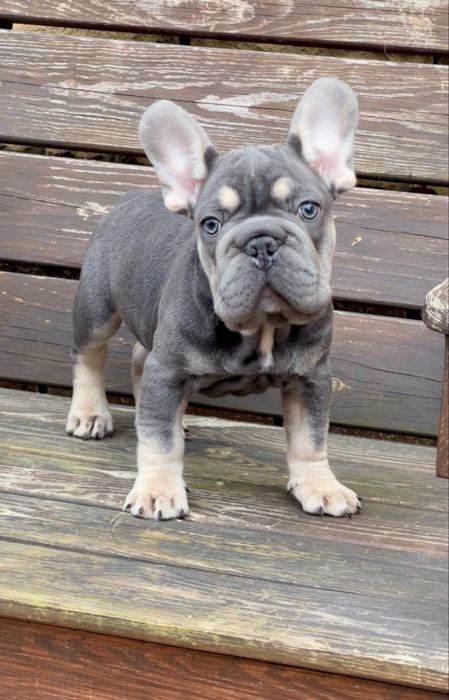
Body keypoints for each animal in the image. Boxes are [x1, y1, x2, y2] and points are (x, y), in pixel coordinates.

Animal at [66, 77, 361, 521]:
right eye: (210, 225)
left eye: (309, 209)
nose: (260, 242)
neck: (263, 327)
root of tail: (129, 198)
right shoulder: (168, 370)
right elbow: (159, 441)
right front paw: (157, 491)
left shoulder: (311, 377)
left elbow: (311, 438)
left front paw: (321, 486)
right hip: (96, 309)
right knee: (89, 355)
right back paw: (88, 413)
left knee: (139, 360)